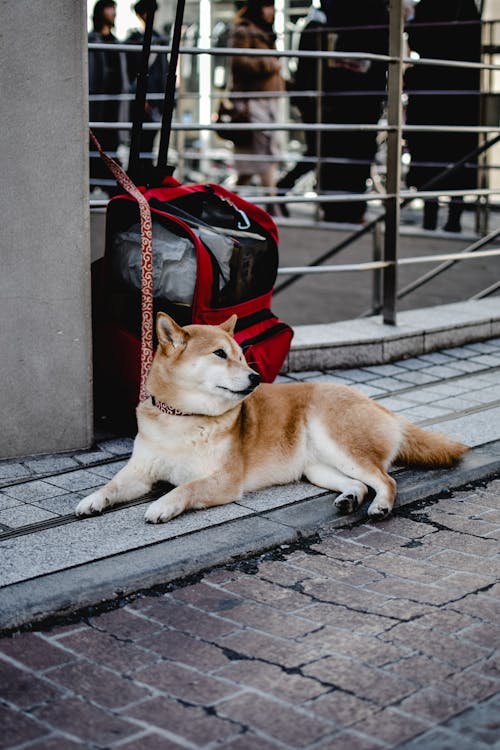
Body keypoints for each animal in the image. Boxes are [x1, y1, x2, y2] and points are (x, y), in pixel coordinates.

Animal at [75, 314, 468, 524]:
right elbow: (112, 485)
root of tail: (383, 408)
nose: (255, 377)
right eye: (220, 354)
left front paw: (161, 505)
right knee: (357, 483)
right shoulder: (140, 472)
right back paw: (349, 499)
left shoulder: (223, 480)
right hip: (316, 467)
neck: (182, 419)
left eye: (241, 355)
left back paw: (381, 505)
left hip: (337, 440)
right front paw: (93, 501)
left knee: (385, 479)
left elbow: (185, 488)